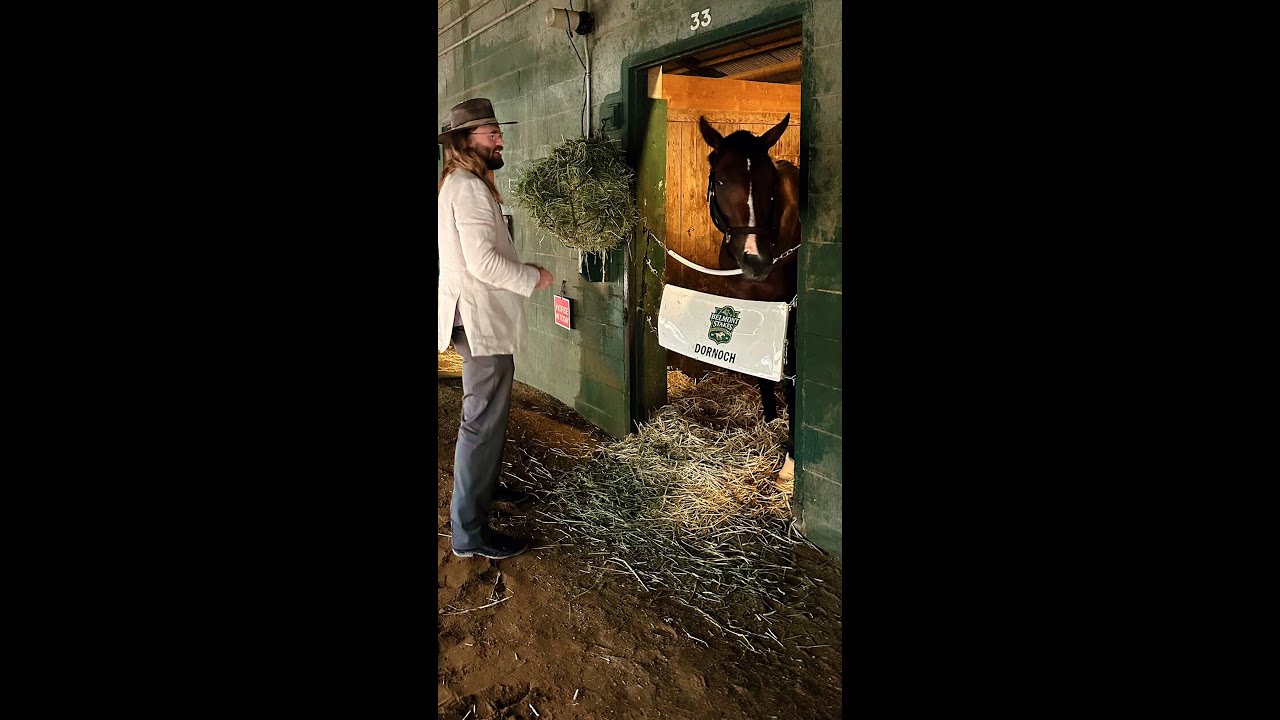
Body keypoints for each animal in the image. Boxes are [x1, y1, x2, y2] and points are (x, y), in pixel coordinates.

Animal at [698, 113, 800, 473]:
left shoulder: (790, 309)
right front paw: (769, 417)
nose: (757, 261)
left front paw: (792, 453)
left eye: (771, 182)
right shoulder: (752, 304)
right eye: (722, 181)